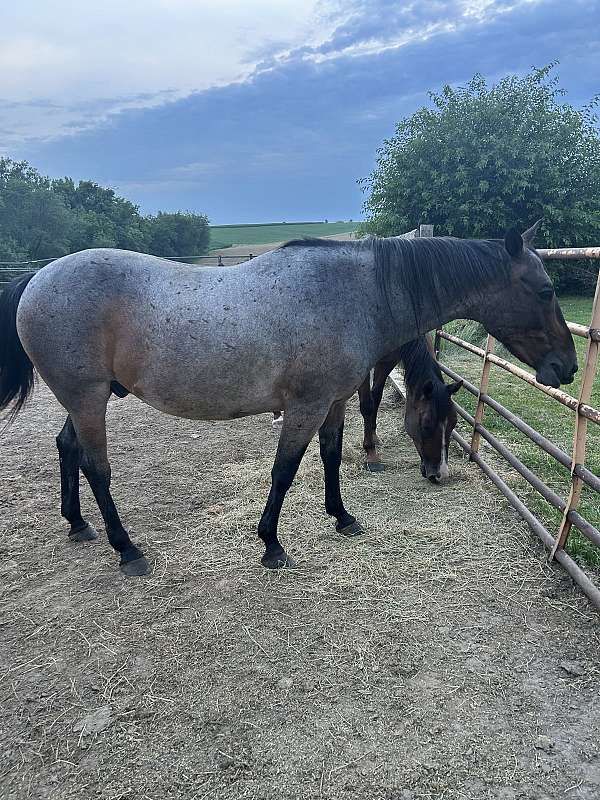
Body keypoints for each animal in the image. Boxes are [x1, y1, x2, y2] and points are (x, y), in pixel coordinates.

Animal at [0, 222, 577, 576]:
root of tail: (38, 277)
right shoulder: (305, 405)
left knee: (67, 447)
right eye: (546, 290)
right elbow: (285, 469)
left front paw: (342, 516)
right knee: (96, 467)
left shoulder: (335, 401)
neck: (357, 291)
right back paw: (127, 549)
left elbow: (331, 456)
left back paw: (78, 525)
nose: (567, 368)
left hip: (83, 399)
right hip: (88, 398)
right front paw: (271, 544)